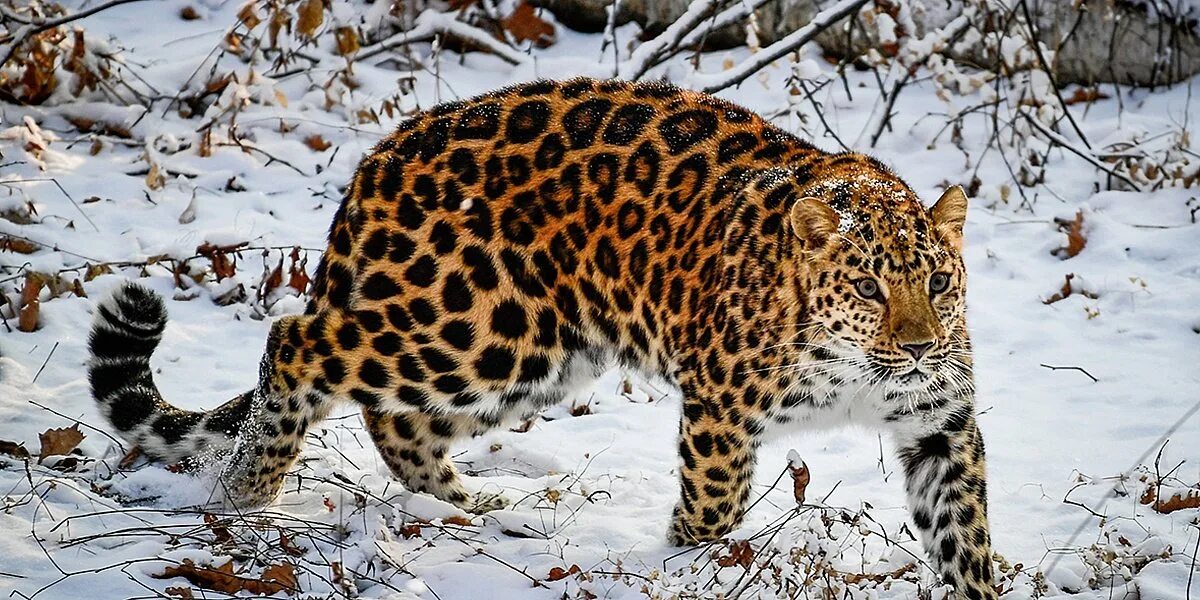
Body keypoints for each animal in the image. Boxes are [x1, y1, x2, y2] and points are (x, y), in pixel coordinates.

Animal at [87, 77, 993, 597]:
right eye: (869, 288)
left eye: (937, 284)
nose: (919, 347)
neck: (856, 374)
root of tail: (379, 157)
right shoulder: (721, 412)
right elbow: (715, 505)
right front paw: (684, 566)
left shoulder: (940, 425)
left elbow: (965, 534)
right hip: (469, 326)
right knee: (297, 340)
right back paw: (248, 493)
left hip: (538, 355)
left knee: (395, 418)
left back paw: (466, 507)